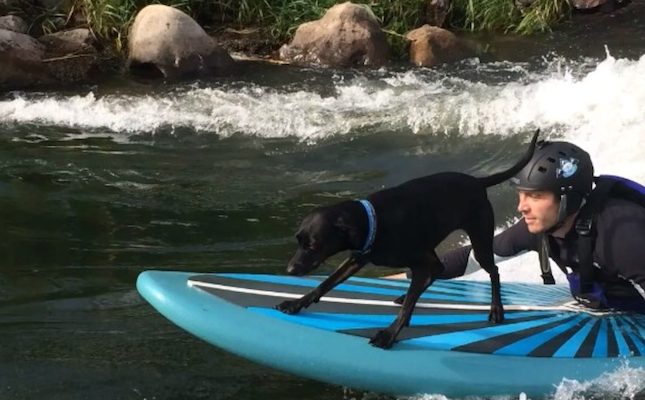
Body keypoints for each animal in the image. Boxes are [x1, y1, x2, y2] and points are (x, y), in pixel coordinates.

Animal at [276, 130, 540, 346]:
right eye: (298, 241)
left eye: (313, 245)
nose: (289, 270)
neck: (372, 221)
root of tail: (477, 181)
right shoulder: (357, 259)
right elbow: (326, 283)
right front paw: (296, 303)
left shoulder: (418, 264)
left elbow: (405, 309)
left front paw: (389, 335)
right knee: (438, 269)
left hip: (480, 241)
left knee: (493, 270)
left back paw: (497, 309)